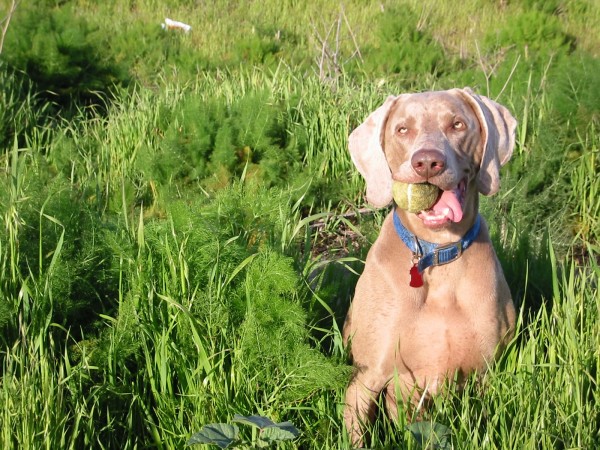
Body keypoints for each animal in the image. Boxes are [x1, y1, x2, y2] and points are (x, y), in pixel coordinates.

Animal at [344, 88, 516, 446]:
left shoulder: (486, 373)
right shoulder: (366, 379)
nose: (426, 162)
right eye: (402, 129)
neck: (437, 255)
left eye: (457, 124)